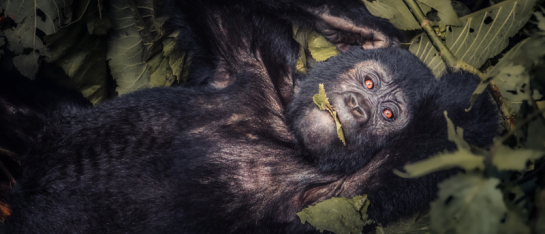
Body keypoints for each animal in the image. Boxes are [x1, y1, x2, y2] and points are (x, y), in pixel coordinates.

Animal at [0, 0, 500, 234]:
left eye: (389, 113)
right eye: (370, 83)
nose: (359, 107)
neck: (282, 133)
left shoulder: (341, 195)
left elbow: (445, 145)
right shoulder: (249, 58)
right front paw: (363, 30)